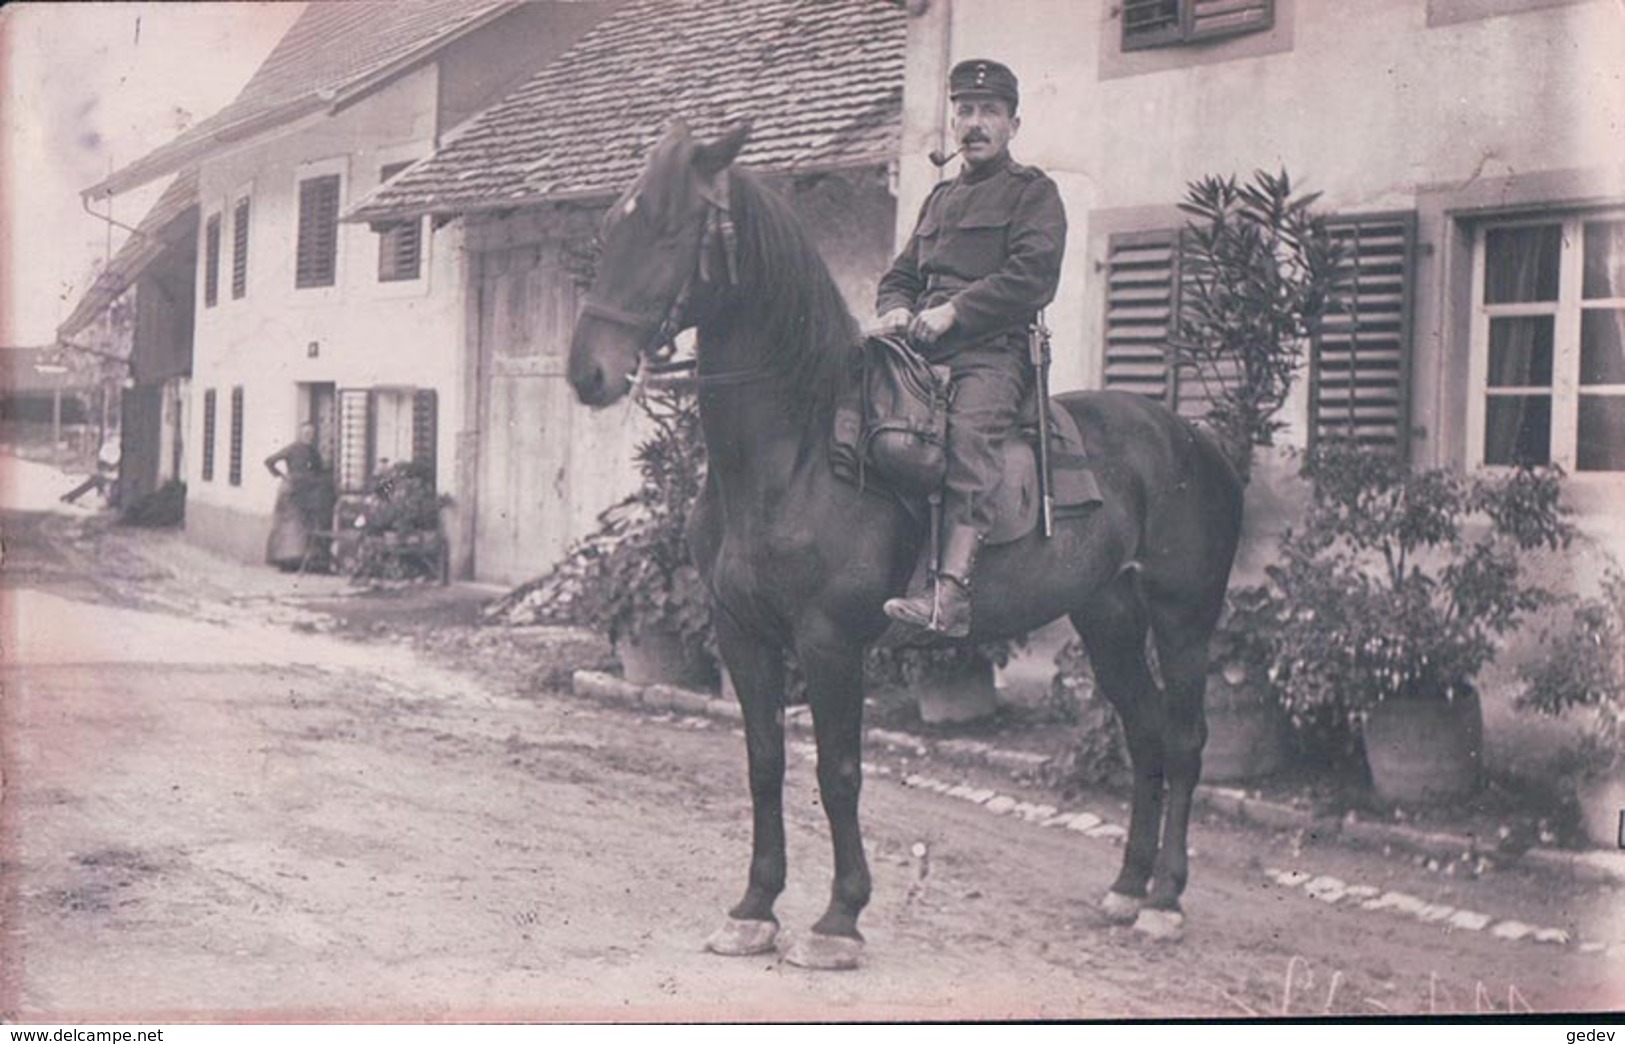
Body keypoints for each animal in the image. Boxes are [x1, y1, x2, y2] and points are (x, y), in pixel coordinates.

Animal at [572, 123, 1241, 969]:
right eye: (607, 228)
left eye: (670, 229)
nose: (587, 372)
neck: (791, 456)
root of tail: (1192, 437)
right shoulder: (742, 634)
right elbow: (763, 764)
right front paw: (753, 908)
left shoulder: (829, 642)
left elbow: (839, 771)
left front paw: (838, 919)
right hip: (1107, 617)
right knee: (1145, 732)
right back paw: (1126, 888)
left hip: (1182, 619)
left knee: (1184, 740)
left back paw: (1163, 901)